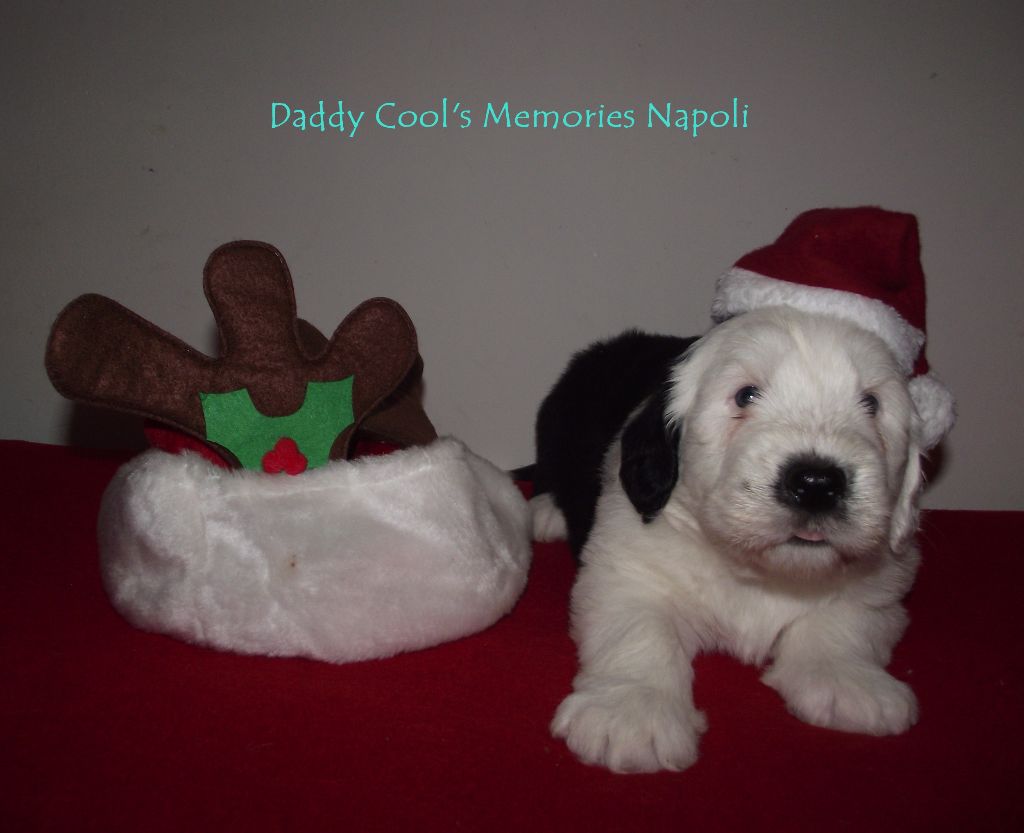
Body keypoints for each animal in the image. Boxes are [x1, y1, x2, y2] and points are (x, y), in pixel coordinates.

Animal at [532, 306, 923, 773]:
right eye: (745, 396)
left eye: (872, 403)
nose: (816, 483)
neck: (759, 569)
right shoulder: (626, 565)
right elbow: (639, 630)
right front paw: (632, 712)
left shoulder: (881, 581)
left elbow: (846, 619)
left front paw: (847, 679)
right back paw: (546, 514)